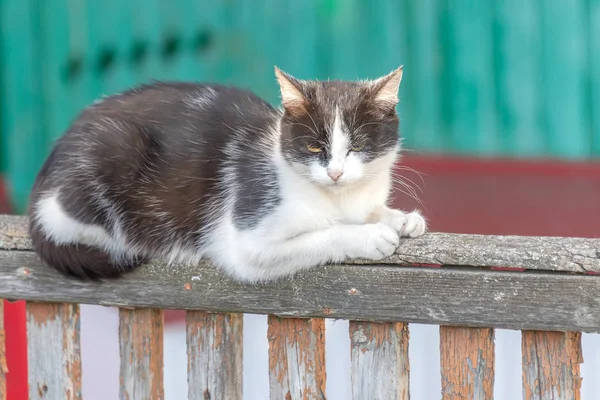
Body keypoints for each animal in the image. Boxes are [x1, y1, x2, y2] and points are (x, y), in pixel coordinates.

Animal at [28, 66, 426, 282]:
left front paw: (400, 218)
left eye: (356, 146)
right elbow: (322, 235)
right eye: (315, 148)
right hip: (115, 151)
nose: (336, 173)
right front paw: (369, 236)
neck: (340, 198)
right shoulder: (246, 237)